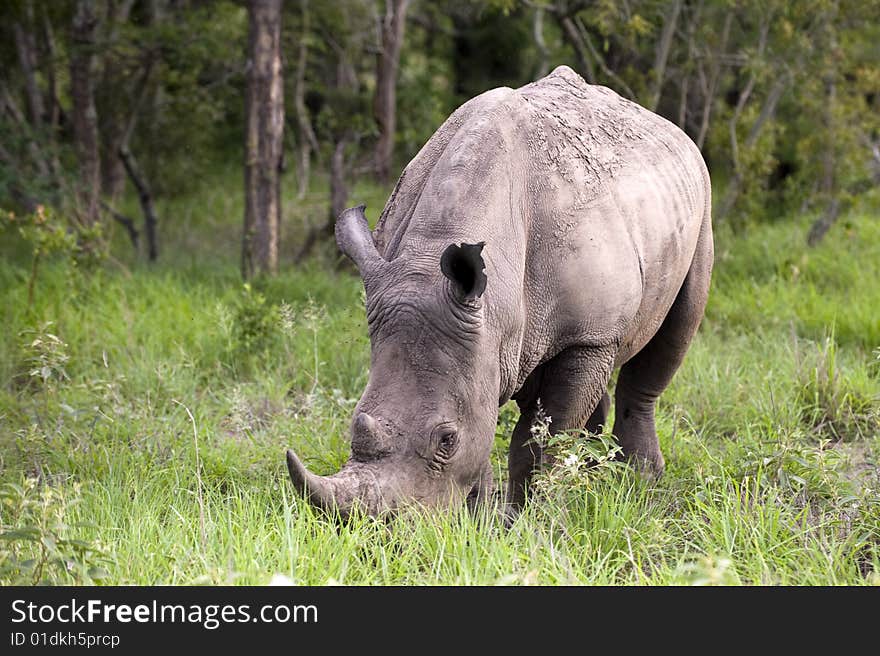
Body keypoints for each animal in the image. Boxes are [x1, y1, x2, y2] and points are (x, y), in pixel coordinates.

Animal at [286, 65, 712, 516]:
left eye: (447, 440)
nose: (384, 530)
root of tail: (665, 125)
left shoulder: (586, 336)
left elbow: (541, 440)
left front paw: (529, 516)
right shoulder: (487, 335)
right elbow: (496, 422)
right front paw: (482, 516)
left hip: (699, 199)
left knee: (671, 335)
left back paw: (641, 482)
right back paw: (595, 478)